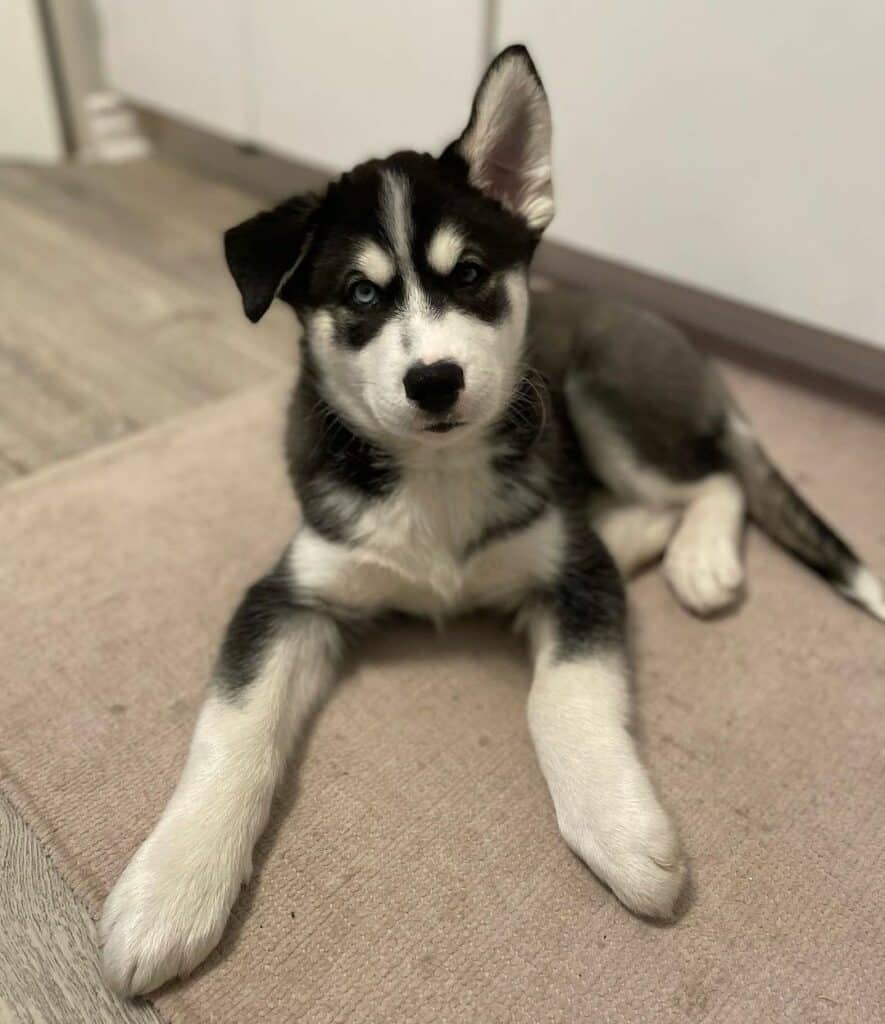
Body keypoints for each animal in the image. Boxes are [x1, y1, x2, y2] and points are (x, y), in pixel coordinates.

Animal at [98, 46, 885, 991]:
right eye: (359, 294)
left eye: (470, 275)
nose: (434, 381)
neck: (437, 478)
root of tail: (675, 339)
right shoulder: (290, 592)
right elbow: (234, 724)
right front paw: (170, 886)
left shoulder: (577, 583)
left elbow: (562, 696)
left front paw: (621, 829)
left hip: (597, 391)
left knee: (711, 479)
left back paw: (696, 558)